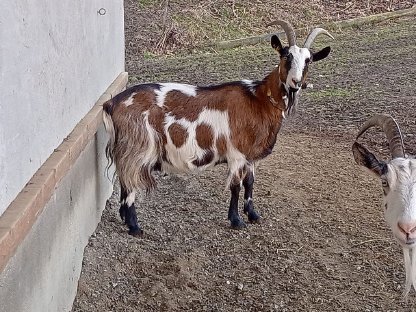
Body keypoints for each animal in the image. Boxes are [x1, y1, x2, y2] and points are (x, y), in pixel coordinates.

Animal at [102, 20, 334, 235]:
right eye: (286, 56)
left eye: (309, 60)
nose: (296, 82)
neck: (259, 100)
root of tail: (112, 103)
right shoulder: (237, 154)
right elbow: (235, 186)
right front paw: (236, 220)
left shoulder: (251, 157)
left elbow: (250, 182)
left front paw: (253, 215)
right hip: (138, 148)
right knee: (131, 182)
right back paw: (134, 227)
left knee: (125, 181)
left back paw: (125, 218)